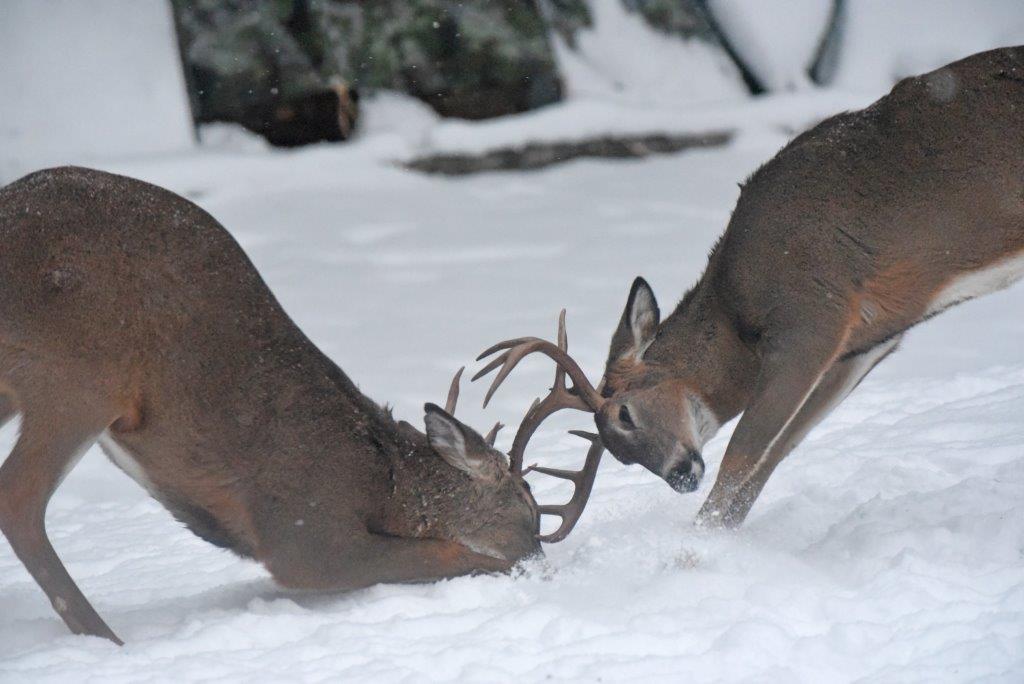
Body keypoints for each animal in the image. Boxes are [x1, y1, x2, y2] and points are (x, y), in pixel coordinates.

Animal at [0, 166, 595, 645]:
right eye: (529, 509)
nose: (543, 563)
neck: (383, 481)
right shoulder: (304, 529)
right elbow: (448, 555)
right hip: (79, 371)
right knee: (18, 497)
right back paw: (107, 642)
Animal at [474, 46, 1024, 532]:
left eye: (624, 413)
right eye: (620, 457)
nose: (680, 476)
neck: (736, 308)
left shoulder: (813, 315)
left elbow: (741, 454)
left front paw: (689, 555)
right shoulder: (866, 343)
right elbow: (770, 460)